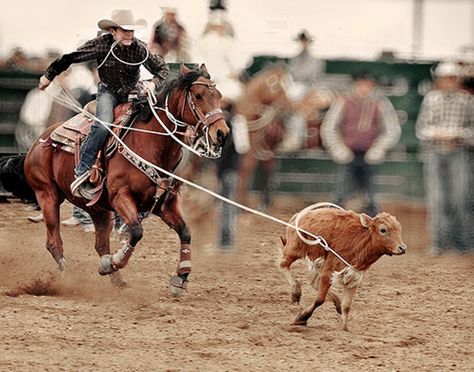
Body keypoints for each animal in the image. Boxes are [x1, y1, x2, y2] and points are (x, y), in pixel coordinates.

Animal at [6, 64, 229, 296]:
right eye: (199, 95)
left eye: (219, 95)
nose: (222, 133)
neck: (150, 143)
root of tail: (36, 144)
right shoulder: (121, 197)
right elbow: (136, 232)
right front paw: (115, 261)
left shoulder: (165, 203)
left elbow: (185, 232)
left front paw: (181, 277)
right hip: (48, 196)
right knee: (54, 241)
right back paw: (68, 279)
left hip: (99, 209)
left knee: (100, 245)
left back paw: (116, 278)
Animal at [278, 206, 408, 332]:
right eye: (383, 230)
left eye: (399, 229)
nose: (402, 248)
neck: (359, 239)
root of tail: (298, 215)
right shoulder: (328, 271)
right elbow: (320, 299)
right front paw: (302, 318)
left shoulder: (353, 277)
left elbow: (346, 306)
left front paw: (344, 328)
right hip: (294, 249)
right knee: (282, 265)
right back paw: (296, 292)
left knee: (314, 283)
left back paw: (337, 303)